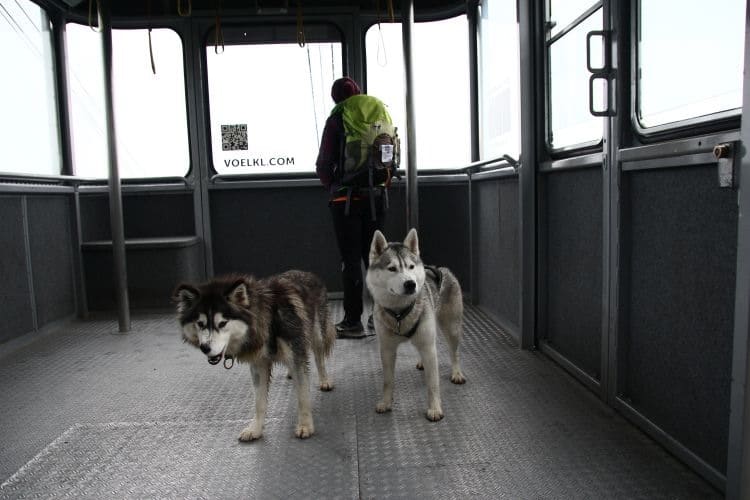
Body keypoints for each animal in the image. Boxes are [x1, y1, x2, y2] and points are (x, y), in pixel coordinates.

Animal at [173, 272, 334, 440]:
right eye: (200, 323)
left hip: (317, 335)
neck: (268, 317)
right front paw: (255, 429)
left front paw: (305, 425)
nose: (205, 348)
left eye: (223, 323)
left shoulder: (296, 353)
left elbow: (303, 395)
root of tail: (305, 273)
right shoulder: (259, 363)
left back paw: (324, 380)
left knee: (319, 359)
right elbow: (259, 401)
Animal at [364, 229, 464, 420]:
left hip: (452, 328)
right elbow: (388, 381)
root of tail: (443, 269)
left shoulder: (429, 347)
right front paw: (386, 402)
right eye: (392, 268)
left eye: (410, 267)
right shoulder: (387, 349)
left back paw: (457, 373)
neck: (399, 313)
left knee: (454, 353)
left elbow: (433, 383)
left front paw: (434, 408)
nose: (411, 284)